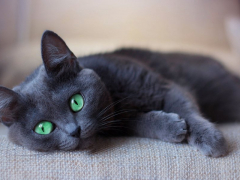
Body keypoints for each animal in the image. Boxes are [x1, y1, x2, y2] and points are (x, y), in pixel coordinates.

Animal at [1, 30, 238, 157]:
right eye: (43, 128)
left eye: (76, 102)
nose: (74, 131)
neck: (118, 100)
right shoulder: (120, 124)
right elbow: (139, 124)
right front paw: (171, 127)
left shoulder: (164, 87)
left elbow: (186, 108)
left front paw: (212, 140)